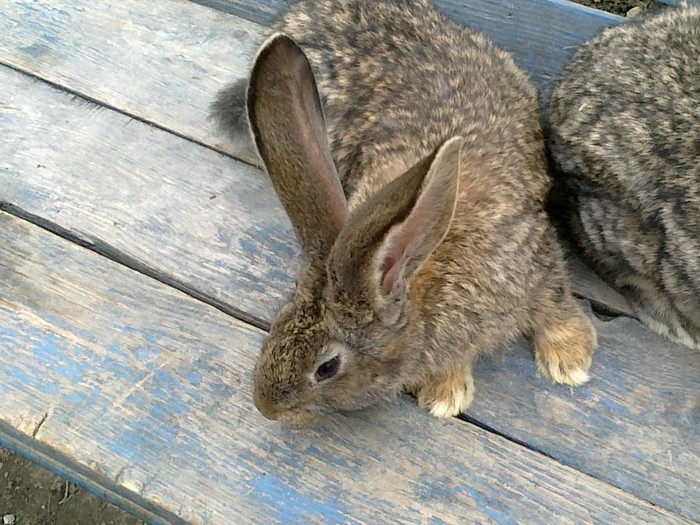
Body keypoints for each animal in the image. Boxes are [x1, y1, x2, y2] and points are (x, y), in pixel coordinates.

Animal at [213, 0, 596, 426]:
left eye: (326, 367)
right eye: (276, 322)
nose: (266, 407)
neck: (417, 269)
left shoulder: (533, 252)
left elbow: (555, 297)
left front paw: (570, 358)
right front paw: (445, 391)